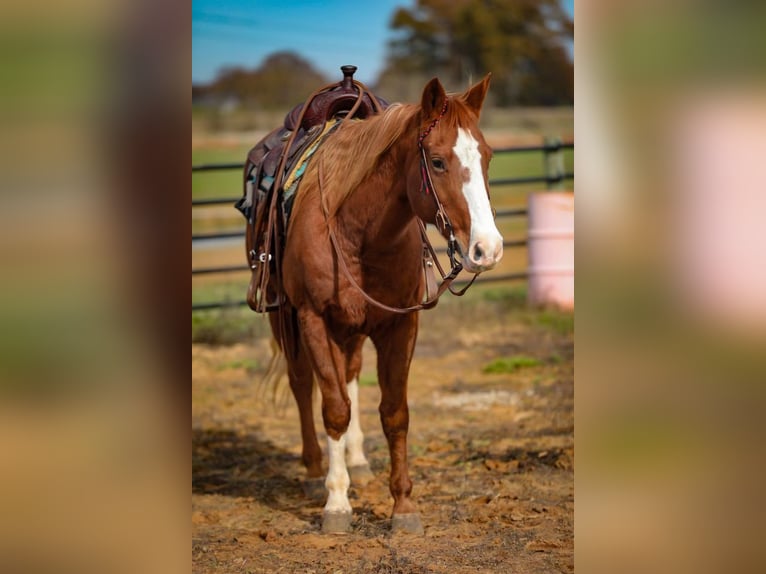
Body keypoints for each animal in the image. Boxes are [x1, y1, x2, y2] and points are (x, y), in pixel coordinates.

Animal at [266, 74, 503, 534]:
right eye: (437, 162)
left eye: (487, 157)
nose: (488, 248)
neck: (356, 230)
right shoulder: (313, 320)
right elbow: (334, 408)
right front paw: (336, 503)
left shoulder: (399, 326)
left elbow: (394, 413)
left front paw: (403, 506)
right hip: (286, 320)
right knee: (303, 385)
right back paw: (314, 470)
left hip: (352, 331)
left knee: (351, 376)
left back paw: (356, 461)